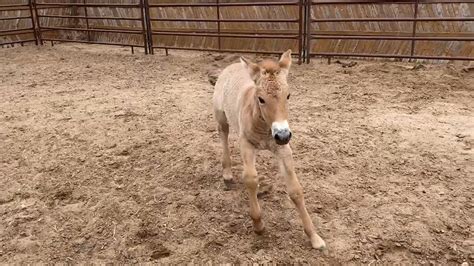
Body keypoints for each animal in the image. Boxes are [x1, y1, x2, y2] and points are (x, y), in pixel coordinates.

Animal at [214, 50, 326, 251]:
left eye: (288, 96)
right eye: (261, 99)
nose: (282, 135)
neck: (264, 127)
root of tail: (231, 66)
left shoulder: (283, 149)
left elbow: (295, 190)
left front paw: (314, 237)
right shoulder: (246, 144)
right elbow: (251, 180)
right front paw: (258, 225)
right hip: (221, 116)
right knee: (223, 134)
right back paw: (227, 174)